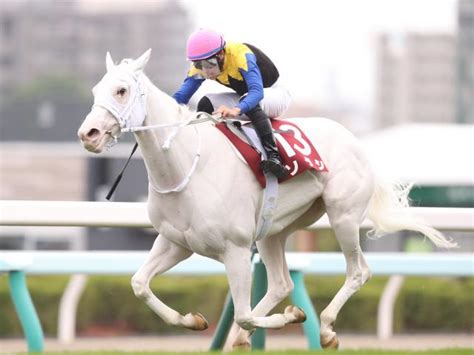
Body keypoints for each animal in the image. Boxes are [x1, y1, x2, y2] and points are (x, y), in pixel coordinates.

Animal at [77, 50, 456, 350]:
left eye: (121, 90)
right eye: (95, 90)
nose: (88, 134)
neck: (186, 167)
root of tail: (356, 140)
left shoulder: (235, 248)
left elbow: (244, 314)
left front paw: (291, 316)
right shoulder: (176, 243)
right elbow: (140, 284)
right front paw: (193, 320)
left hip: (343, 216)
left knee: (358, 271)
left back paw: (326, 328)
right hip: (274, 230)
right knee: (281, 283)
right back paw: (252, 333)